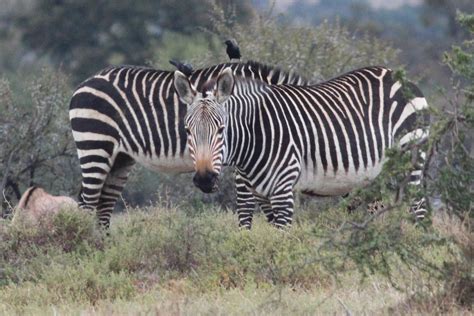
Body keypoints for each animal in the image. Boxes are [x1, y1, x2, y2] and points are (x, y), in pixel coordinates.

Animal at [69, 60, 308, 227]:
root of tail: (87, 81)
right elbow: (249, 208)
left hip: (120, 157)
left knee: (104, 204)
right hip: (95, 143)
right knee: (87, 203)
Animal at [174, 66, 430, 228]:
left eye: (221, 129)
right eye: (188, 130)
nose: (205, 179)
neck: (254, 136)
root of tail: (397, 76)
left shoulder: (282, 191)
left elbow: (281, 238)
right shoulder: (248, 193)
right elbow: (247, 232)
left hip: (411, 159)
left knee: (419, 210)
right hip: (373, 177)